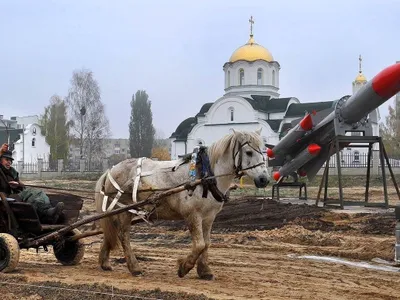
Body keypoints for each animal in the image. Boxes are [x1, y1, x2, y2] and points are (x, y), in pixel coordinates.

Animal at [94, 128, 268, 278]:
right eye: (249, 152)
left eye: (264, 151)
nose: (264, 179)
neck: (205, 176)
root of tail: (111, 170)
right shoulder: (193, 215)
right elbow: (199, 244)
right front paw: (184, 267)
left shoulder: (209, 217)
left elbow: (207, 243)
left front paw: (204, 271)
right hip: (124, 210)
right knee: (123, 235)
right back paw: (134, 267)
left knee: (111, 233)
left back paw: (104, 262)